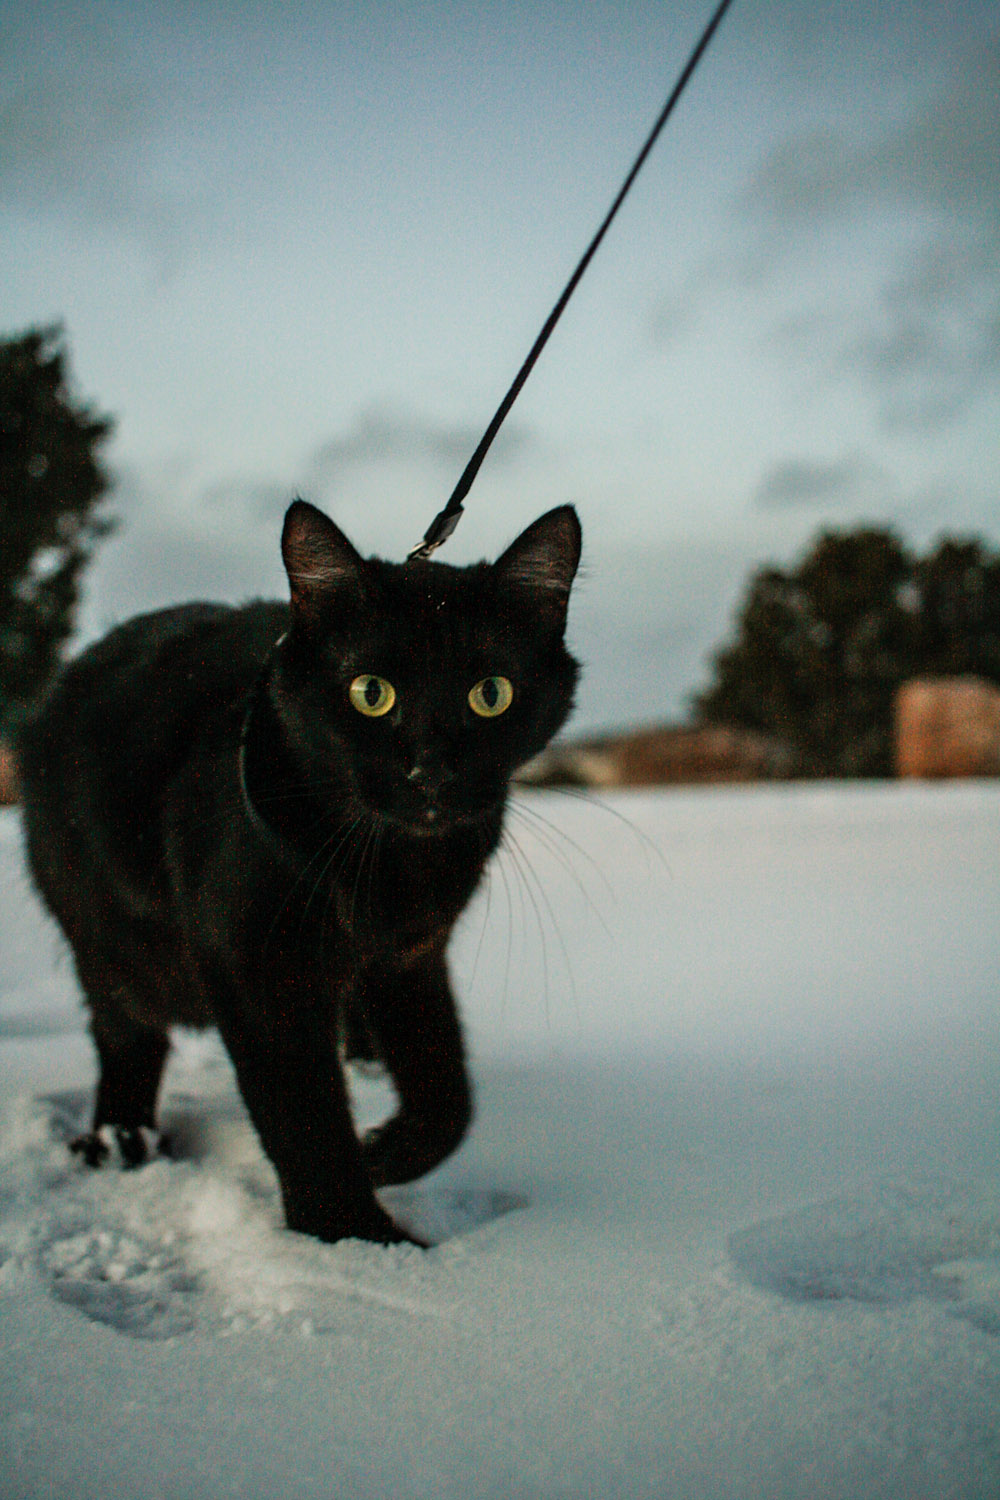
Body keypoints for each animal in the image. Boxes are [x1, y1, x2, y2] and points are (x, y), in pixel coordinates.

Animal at [17, 498, 581, 1245]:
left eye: (492, 693)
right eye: (371, 693)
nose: (430, 771)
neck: (392, 862)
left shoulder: (408, 957)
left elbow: (447, 1092)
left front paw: (385, 1156)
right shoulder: (258, 968)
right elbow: (305, 1115)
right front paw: (356, 1238)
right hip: (112, 943)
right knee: (127, 1034)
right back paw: (120, 1139)